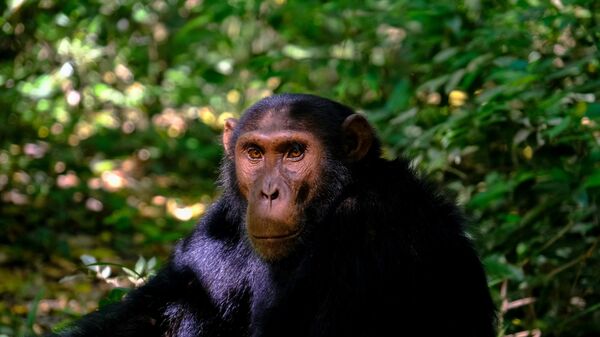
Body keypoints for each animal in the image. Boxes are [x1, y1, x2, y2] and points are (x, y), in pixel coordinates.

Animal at [55, 92, 496, 336]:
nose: (268, 192)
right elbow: (153, 309)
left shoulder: (368, 230)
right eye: (254, 153)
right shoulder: (222, 222)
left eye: (294, 152)